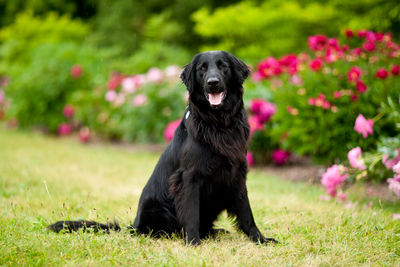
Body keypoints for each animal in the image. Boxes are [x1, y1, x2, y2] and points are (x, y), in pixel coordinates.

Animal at [47, 51, 278, 246]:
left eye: (223, 66)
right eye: (202, 69)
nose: (213, 83)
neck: (218, 123)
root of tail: (133, 226)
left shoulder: (237, 173)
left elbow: (247, 213)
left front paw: (260, 239)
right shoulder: (189, 177)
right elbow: (191, 214)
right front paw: (193, 243)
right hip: (157, 207)